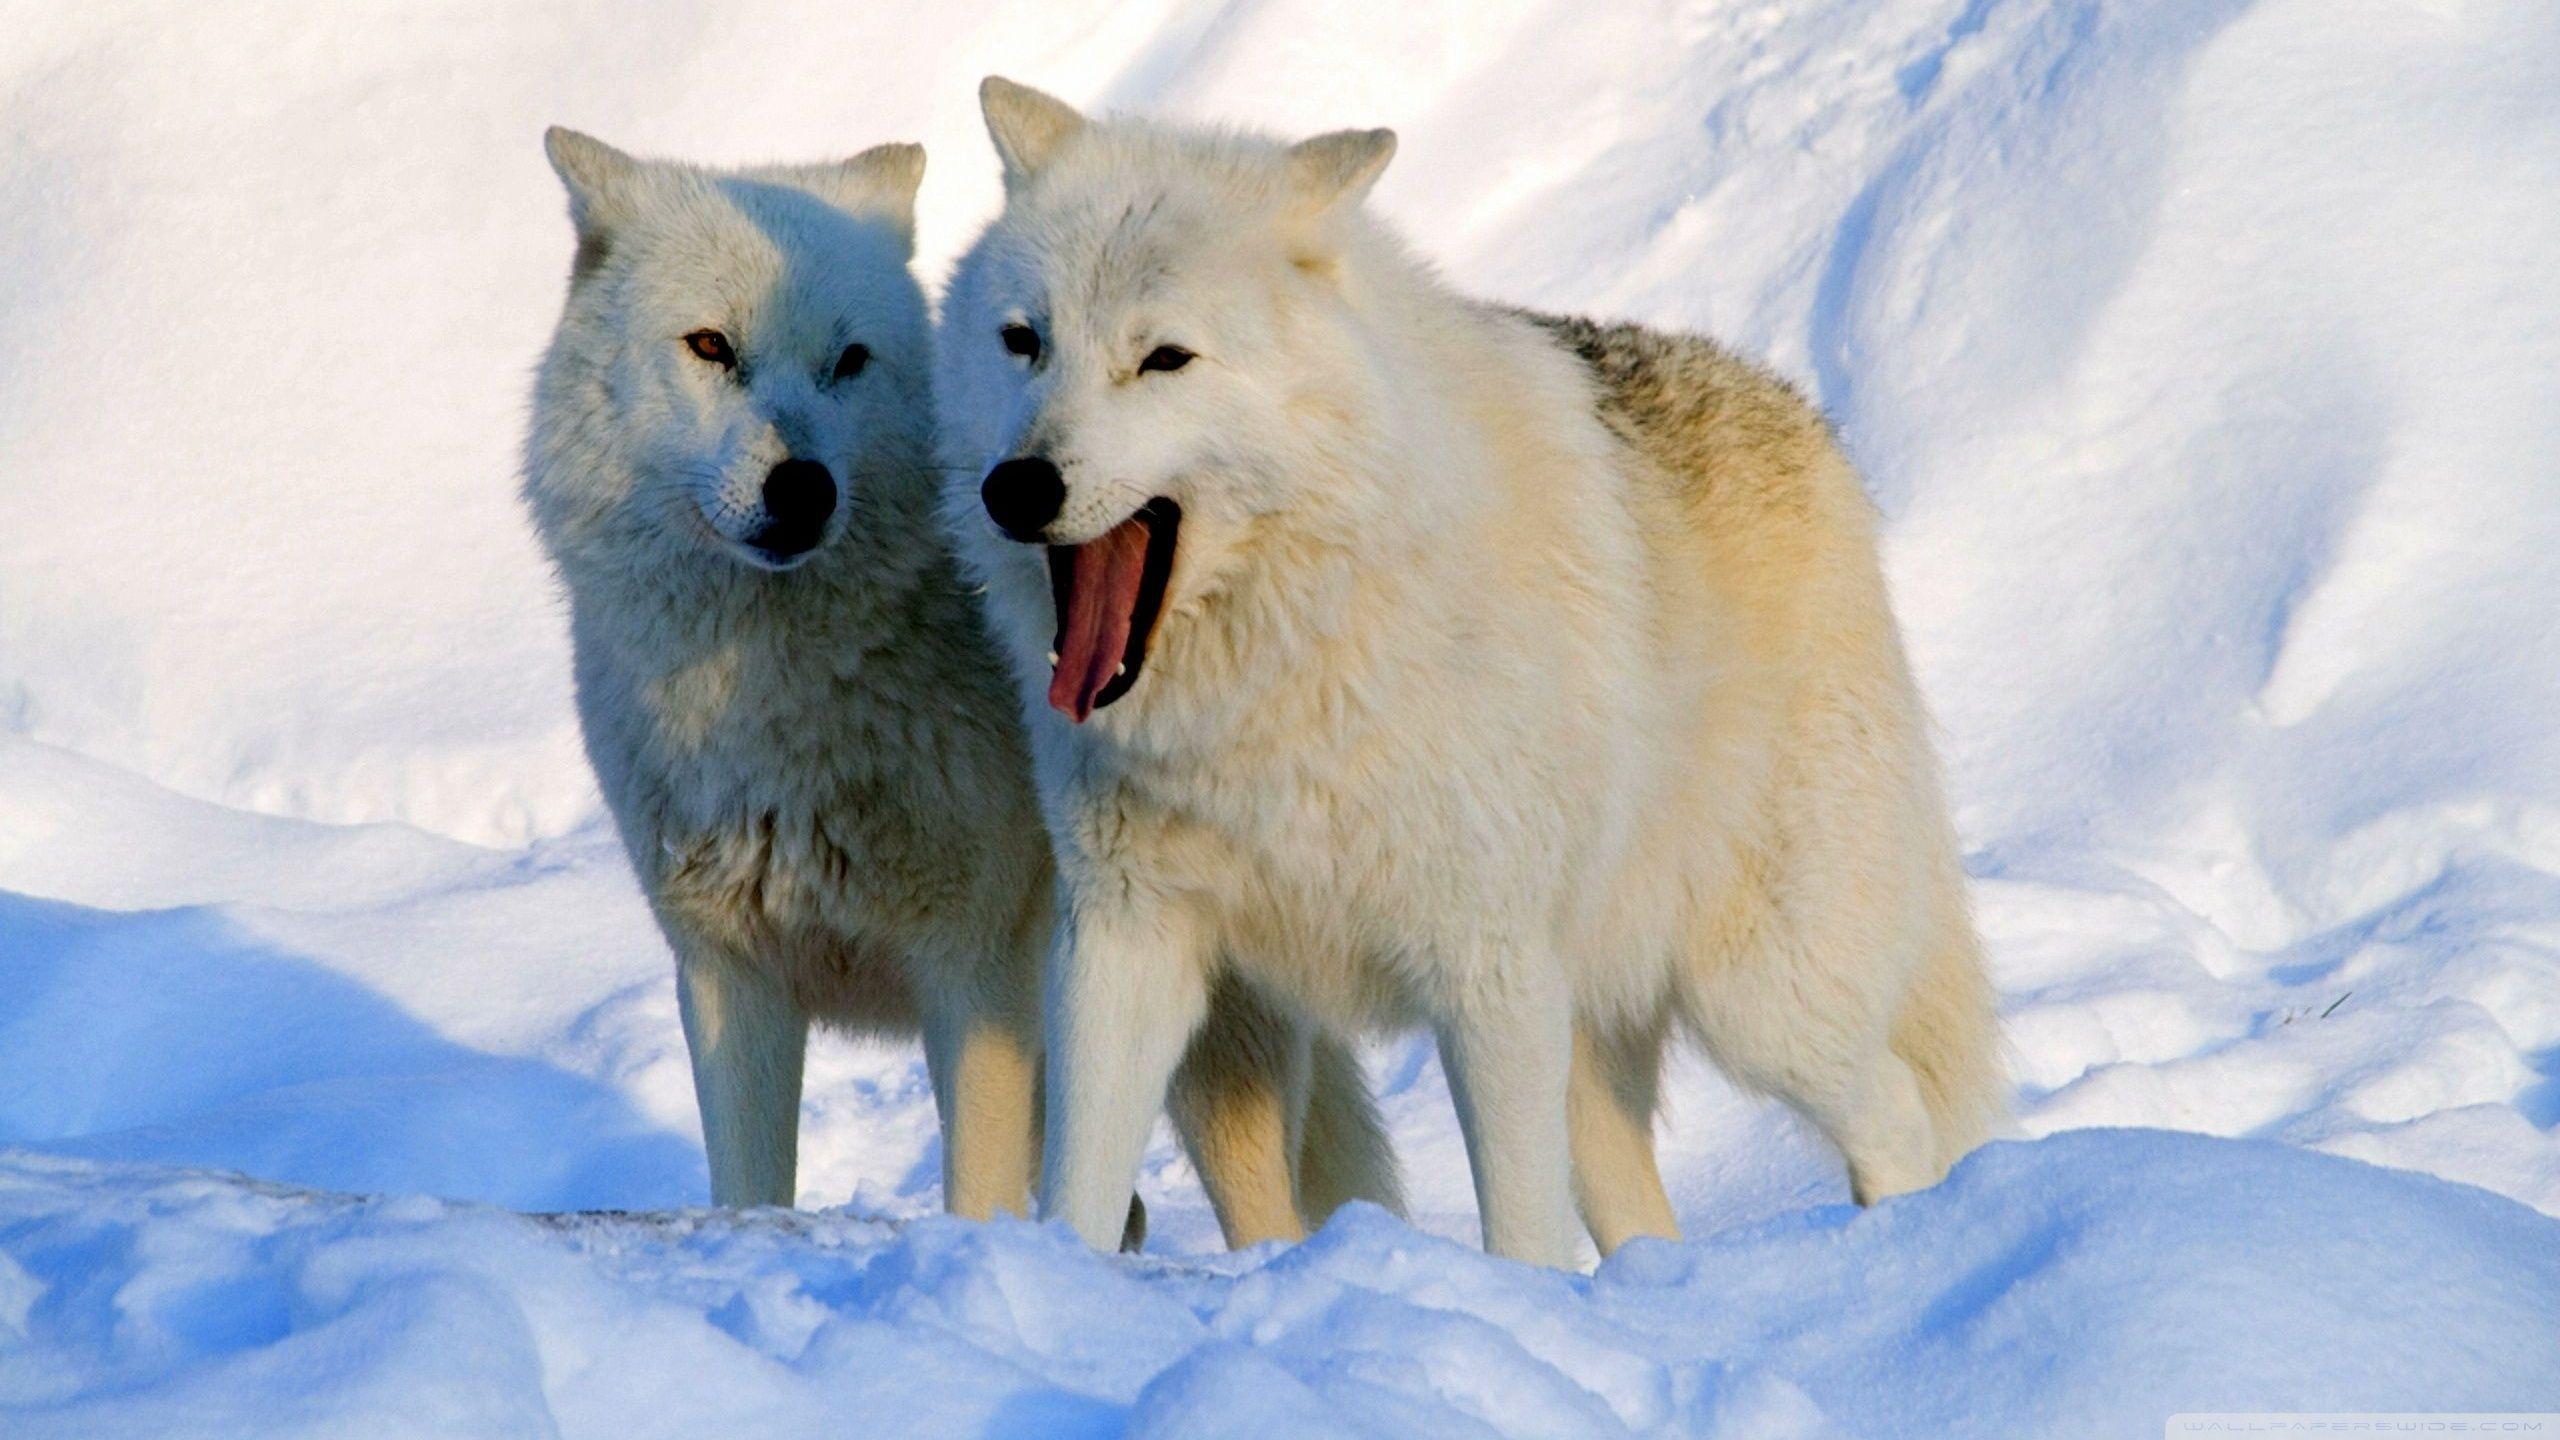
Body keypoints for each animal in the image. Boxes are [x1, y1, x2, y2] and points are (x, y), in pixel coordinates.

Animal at [521, 127, 1400, 1245]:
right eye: (711, 346)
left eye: (849, 360)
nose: (802, 486)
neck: (776, 701)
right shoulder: (728, 977)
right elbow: (751, 1193)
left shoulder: (973, 978)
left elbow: (973, 1197)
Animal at [934, 80, 2008, 1267]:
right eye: (1024, 342)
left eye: (1163, 358)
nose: (1016, 486)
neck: (1284, 674)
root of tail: (1808, 422)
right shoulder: (1124, 942)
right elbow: (1078, 1189)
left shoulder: (1487, 969)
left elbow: (1520, 1238)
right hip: (1593, 1057)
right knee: (1648, 1216)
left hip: (1758, 1001)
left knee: (1898, 1111)